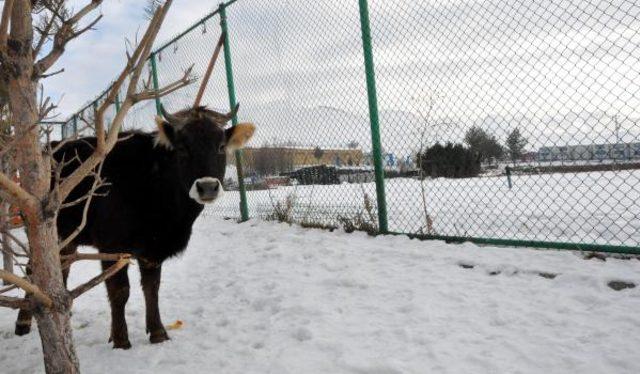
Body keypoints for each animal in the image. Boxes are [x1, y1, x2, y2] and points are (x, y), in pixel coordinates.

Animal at [15, 104, 255, 348]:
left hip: (65, 237)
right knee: (33, 270)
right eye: (182, 147)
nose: (207, 187)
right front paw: (121, 339)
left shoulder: (153, 249)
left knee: (58, 269)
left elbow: (152, 288)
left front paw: (158, 332)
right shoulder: (111, 246)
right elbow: (120, 291)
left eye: (221, 146)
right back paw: (24, 323)